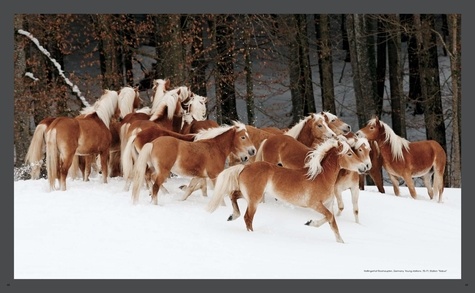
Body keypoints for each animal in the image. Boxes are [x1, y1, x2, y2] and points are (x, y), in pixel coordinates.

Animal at [206, 137, 370, 242]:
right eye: (349, 153)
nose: (364, 167)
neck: (321, 177)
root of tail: (245, 167)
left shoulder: (328, 205)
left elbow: (330, 220)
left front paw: (311, 223)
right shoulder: (314, 204)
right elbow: (331, 218)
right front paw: (340, 241)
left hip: (249, 195)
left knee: (233, 196)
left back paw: (232, 215)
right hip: (254, 200)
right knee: (248, 218)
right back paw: (253, 235)